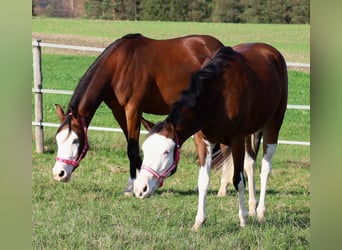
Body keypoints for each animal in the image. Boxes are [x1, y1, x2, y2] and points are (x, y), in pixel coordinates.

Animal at [51, 33, 222, 193]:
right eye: (58, 139)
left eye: (75, 140)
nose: (59, 174)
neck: (118, 66)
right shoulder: (118, 111)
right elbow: (130, 145)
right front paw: (134, 183)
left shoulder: (133, 110)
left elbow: (133, 148)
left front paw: (135, 185)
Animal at [134, 43, 288, 230]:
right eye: (144, 150)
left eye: (166, 152)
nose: (140, 189)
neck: (217, 96)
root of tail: (272, 52)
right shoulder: (203, 142)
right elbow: (203, 181)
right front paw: (199, 221)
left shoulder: (236, 140)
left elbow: (238, 180)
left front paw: (243, 219)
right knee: (250, 165)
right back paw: (252, 207)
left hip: (273, 125)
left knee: (265, 169)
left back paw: (259, 212)